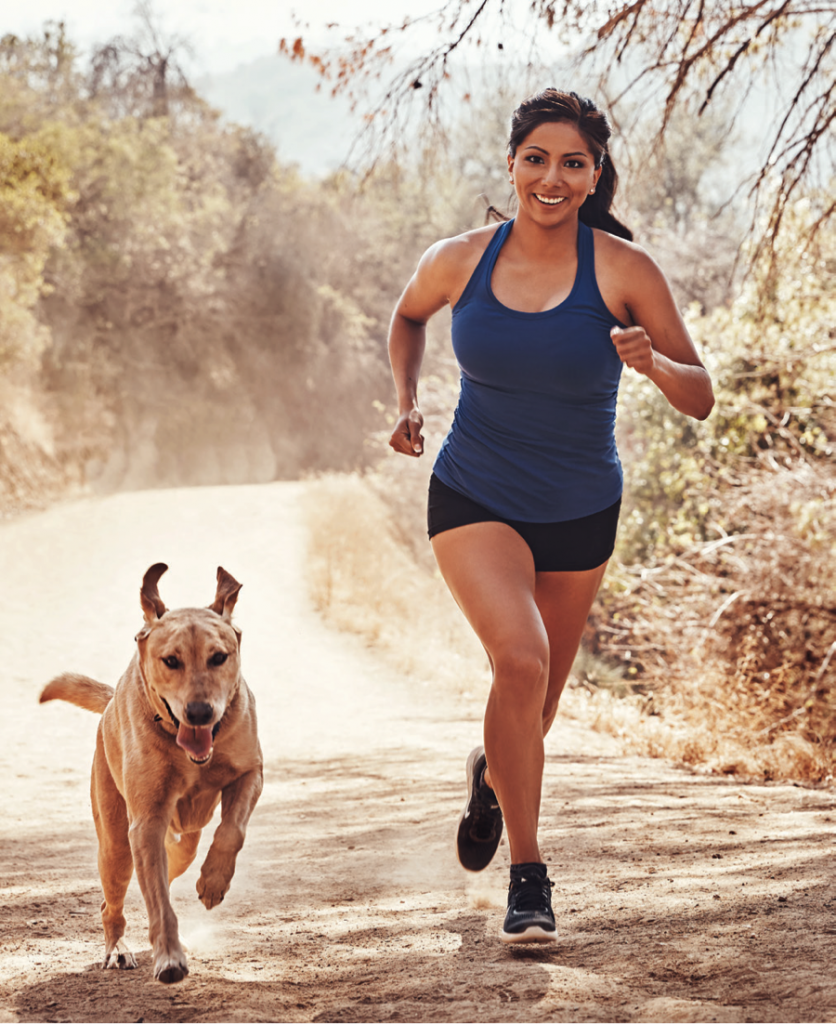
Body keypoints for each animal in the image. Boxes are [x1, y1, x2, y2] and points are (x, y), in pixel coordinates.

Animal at [38, 565, 261, 978]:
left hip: (183, 844)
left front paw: (213, 882)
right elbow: (157, 899)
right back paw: (118, 949)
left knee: (175, 866)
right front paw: (169, 957)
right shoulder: (146, 824)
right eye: (170, 660)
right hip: (116, 847)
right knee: (113, 903)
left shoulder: (250, 772)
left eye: (219, 657)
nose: (200, 712)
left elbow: (232, 830)